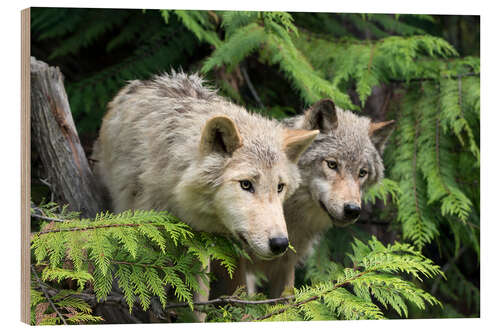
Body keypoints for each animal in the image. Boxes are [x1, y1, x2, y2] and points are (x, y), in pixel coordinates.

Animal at [213, 98, 396, 296]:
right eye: (332, 164)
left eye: (362, 173)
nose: (352, 210)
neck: (290, 215)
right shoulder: (233, 262)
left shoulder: (285, 265)